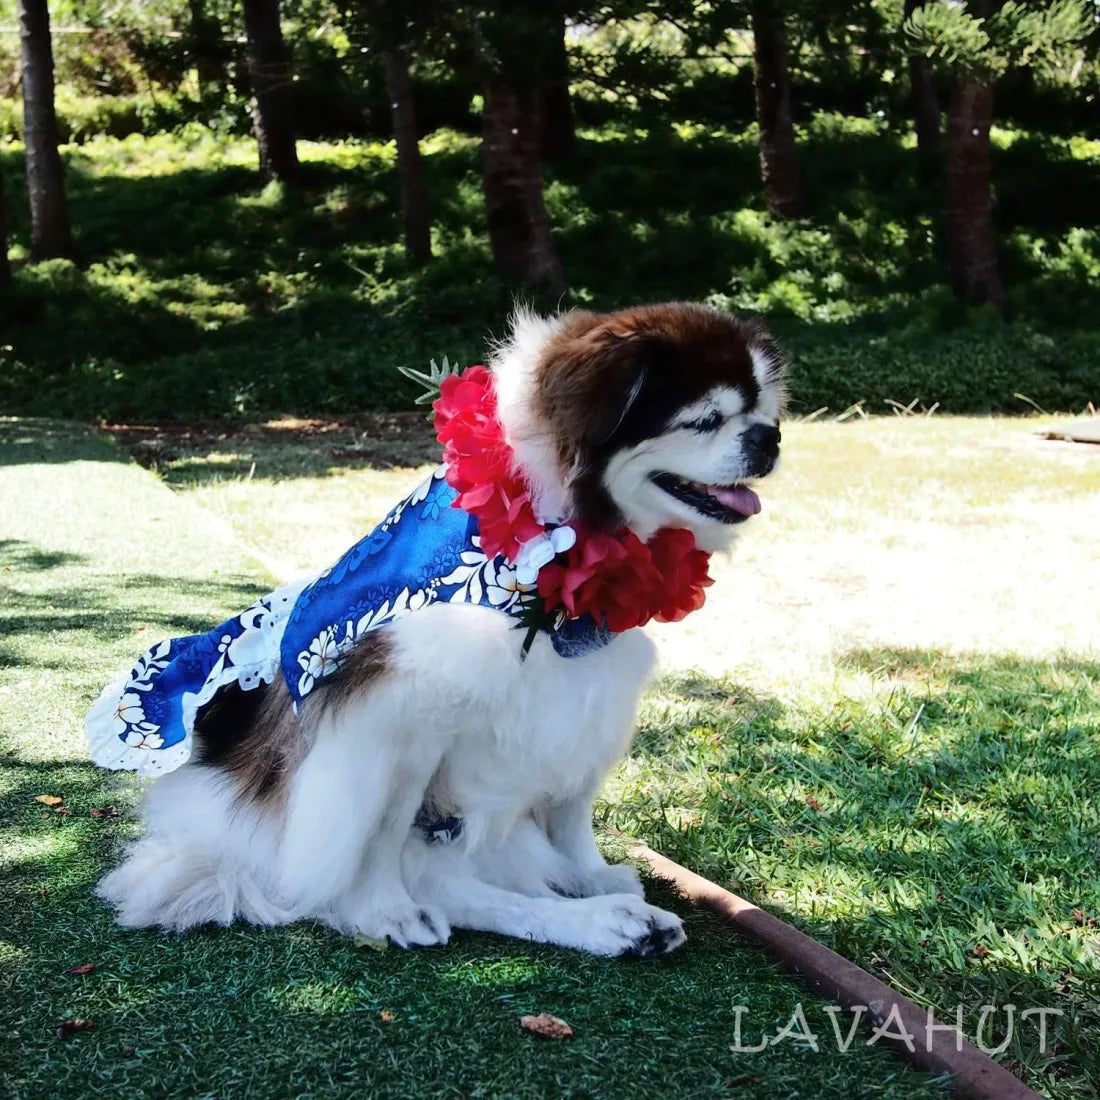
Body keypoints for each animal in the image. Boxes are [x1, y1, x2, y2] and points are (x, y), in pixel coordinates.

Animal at [94, 305, 783, 959]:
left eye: (761, 409)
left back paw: (610, 917)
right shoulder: (399, 712)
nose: (771, 437)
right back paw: (597, 923)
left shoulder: (594, 691)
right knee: (442, 884)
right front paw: (383, 910)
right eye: (704, 419)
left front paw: (588, 874)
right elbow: (382, 834)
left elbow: (571, 808)